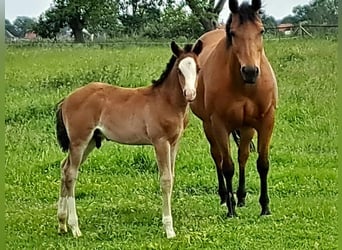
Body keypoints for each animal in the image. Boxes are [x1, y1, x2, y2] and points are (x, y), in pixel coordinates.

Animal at [54, 40, 202, 238]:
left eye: (198, 68)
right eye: (179, 70)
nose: (190, 94)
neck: (166, 101)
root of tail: (67, 100)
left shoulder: (174, 143)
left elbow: (172, 177)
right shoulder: (160, 142)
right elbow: (165, 180)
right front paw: (169, 229)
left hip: (90, 141)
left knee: (64, 167)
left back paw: (62, 223)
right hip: (79, 141)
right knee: (71, 174)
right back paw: (75, 227)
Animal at [190, 0, 278, 218]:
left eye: (261, 30)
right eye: (233, 33)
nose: (250, 71)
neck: (244, 86)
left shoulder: (266, 121)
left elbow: (262, 164)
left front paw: (265, 207)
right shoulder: (220, 124)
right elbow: (227, 166)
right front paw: (231, 210)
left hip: (246, 127)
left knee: (243, 156)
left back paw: (242, 197)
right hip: (208, 126)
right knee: (217, 157)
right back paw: (225, 197)